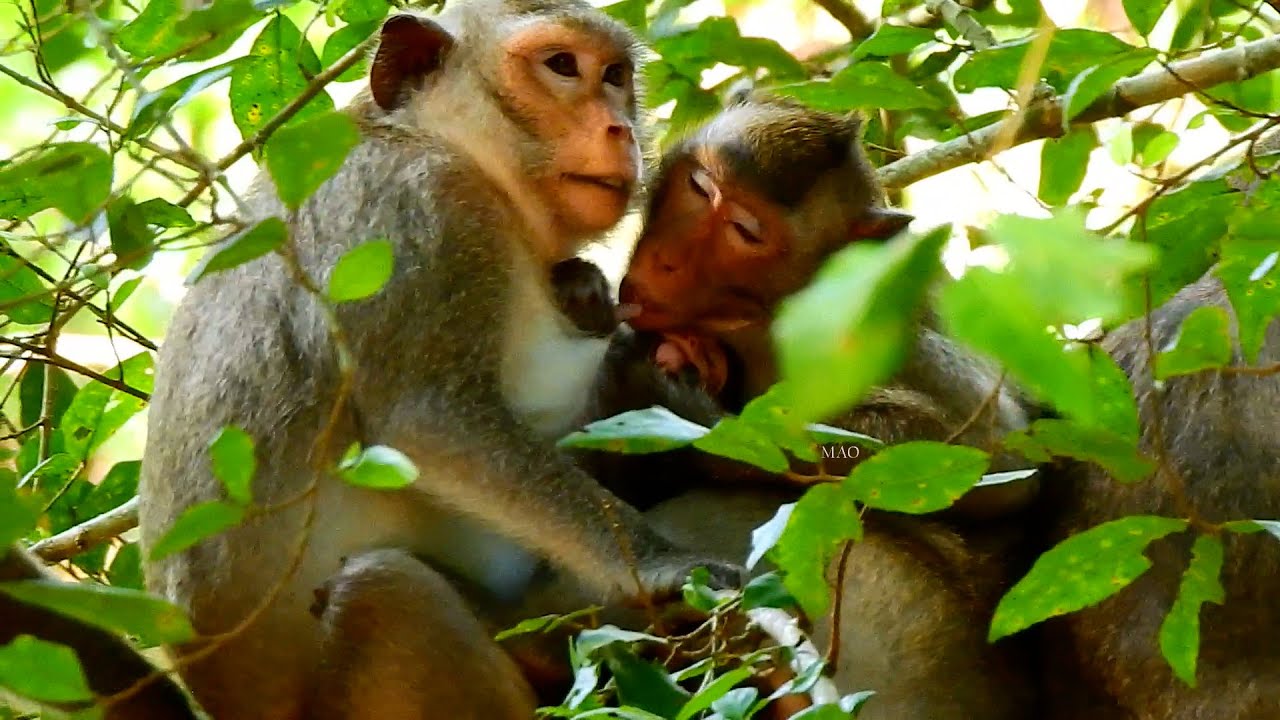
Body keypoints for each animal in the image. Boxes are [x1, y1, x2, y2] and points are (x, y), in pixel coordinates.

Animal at [137, 4, 745, 719]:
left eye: (617, 76)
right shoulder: (415, 210)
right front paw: (661, 564)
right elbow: (427, 420)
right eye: (562, 66)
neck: (450, 145)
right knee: (381, 592)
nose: (619, 127)